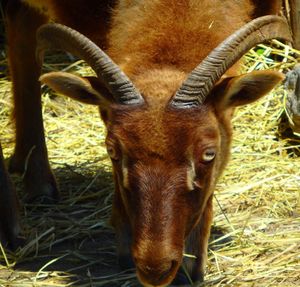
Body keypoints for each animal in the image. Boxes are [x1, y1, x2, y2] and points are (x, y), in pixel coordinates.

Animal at [0, 0, 290, 287]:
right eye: (112, 150)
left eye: (210, 153)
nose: (154, 268)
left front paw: (191, 265)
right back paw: (11, 227)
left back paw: (35, 179)